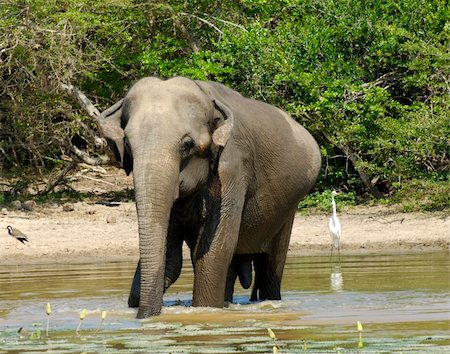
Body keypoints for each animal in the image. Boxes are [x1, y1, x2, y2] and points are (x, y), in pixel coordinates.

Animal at [100, 76, 322, 318]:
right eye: (127, 144)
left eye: (187, 145)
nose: (143, 315)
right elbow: (172, 257)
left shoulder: (233, 168)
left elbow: (215, 251)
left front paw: (205, 311)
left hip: (288, 209)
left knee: (270, 268)